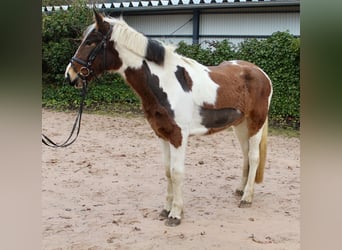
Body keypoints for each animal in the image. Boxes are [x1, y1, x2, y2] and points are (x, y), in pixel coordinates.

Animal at [65, 10, 272, 227]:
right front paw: (166, 209)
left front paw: (176, 214)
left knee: (254, 157)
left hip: (256, 123)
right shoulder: (162, 134)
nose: (70, 75)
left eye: (91, 42)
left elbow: (177, 172)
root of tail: (261, 73)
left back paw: (247, 198)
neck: (167, 83)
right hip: (240, 126)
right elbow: (167, 171)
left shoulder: (178, 136)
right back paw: (240, 189)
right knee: (245, 156)